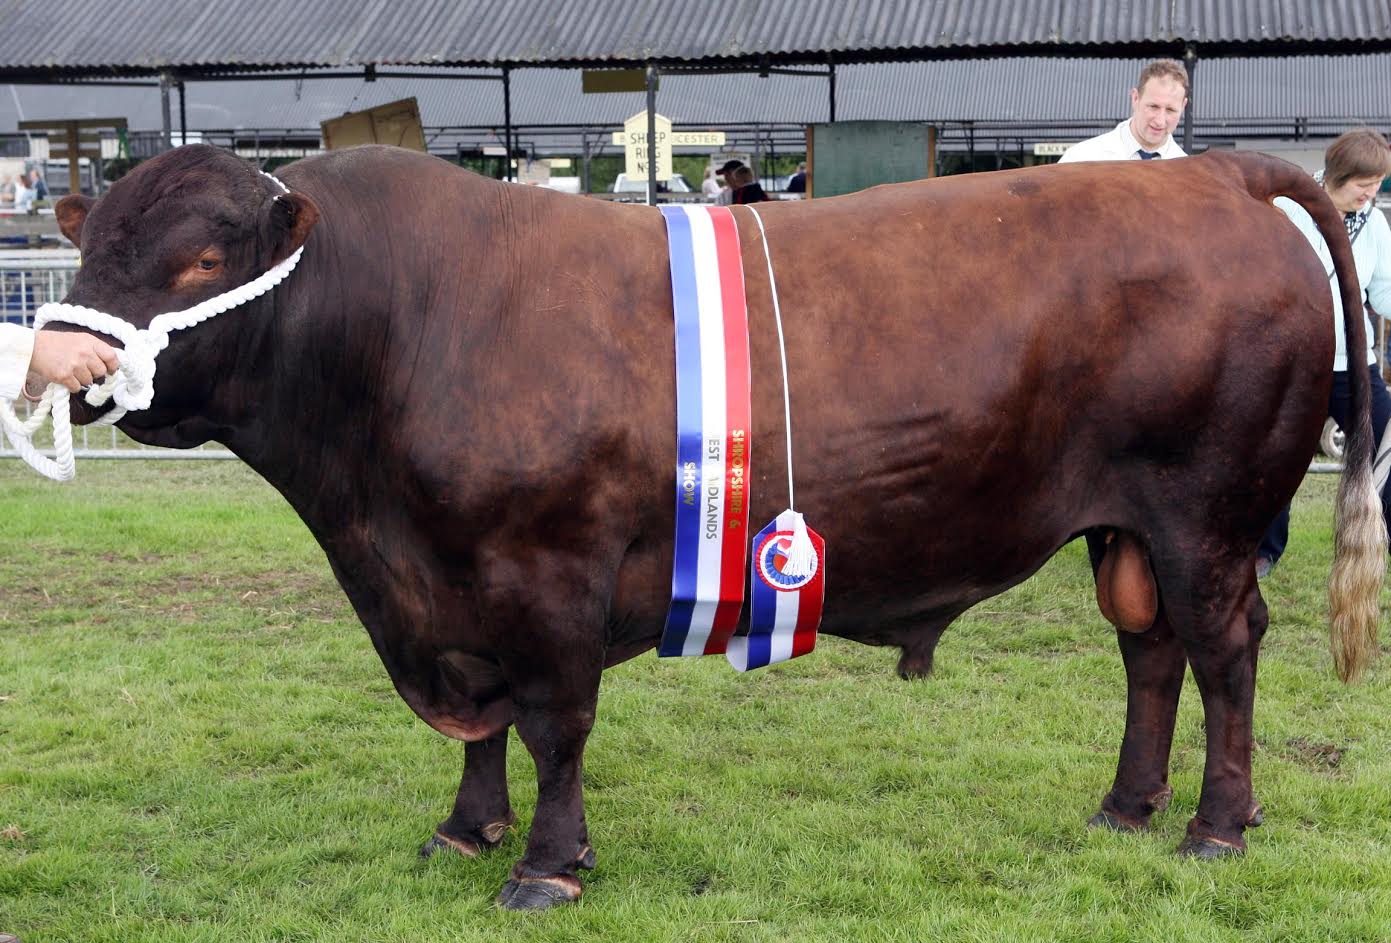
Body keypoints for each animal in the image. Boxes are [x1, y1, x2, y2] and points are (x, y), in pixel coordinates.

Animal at [46, 143, 1379, 912]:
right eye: (94, 242)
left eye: (201, 259)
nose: (62, 358)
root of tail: (1208, 171)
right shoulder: (454, 590)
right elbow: (484, 729)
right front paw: (466, 832)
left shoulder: (544, 574)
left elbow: (553, 724)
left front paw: (547, 863)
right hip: (1124, 525)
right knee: (1148, 648)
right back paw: (1124, 806)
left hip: (1204, 512)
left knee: (1222, 650)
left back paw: (1212, 826)